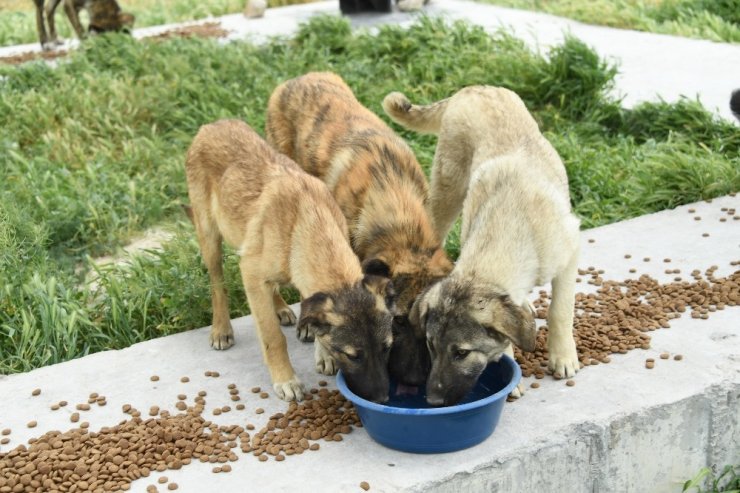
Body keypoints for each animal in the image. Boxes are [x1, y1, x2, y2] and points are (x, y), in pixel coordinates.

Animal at [184, 118, 396, 400]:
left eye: (387, 347)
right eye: (353, 355)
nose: (382, 399)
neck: (308, 221)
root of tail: (213, 124)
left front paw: (322, 353)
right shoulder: (250, 272)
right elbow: (272, 337)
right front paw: (286, 379)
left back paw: (281, 307)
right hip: (209, 237)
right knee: (218, 284)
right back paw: (221, 328)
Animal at [382, 86, 584, 406]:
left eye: (462, 353)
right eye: (431, 346)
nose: (433, 401)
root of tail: (472, 89)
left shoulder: (570, 251)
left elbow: (560, 309)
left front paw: (562, 356)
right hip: (447, 191)